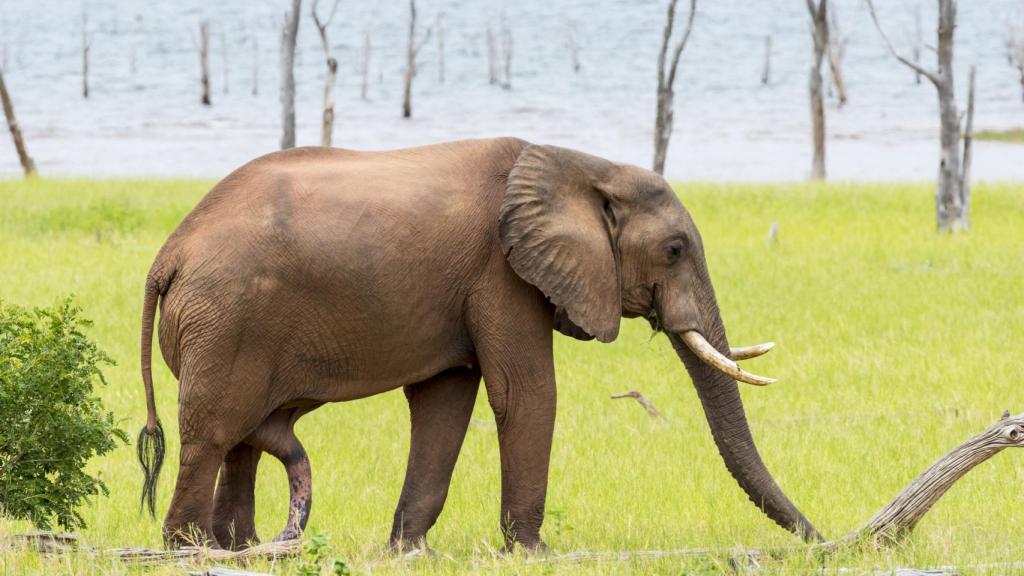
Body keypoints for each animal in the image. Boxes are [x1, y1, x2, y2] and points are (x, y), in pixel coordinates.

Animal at [136, 138, 820, 552]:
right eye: (675, 250)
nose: (818, 540)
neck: (576, 164)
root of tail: (168, 255)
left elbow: (445, 403)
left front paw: (409, 550)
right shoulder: (501, 273)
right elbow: (526, 394)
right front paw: (536, 552)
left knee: (245, 440)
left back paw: (241, 549)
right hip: (226, 320)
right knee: (214, 433)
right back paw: (188, 550)